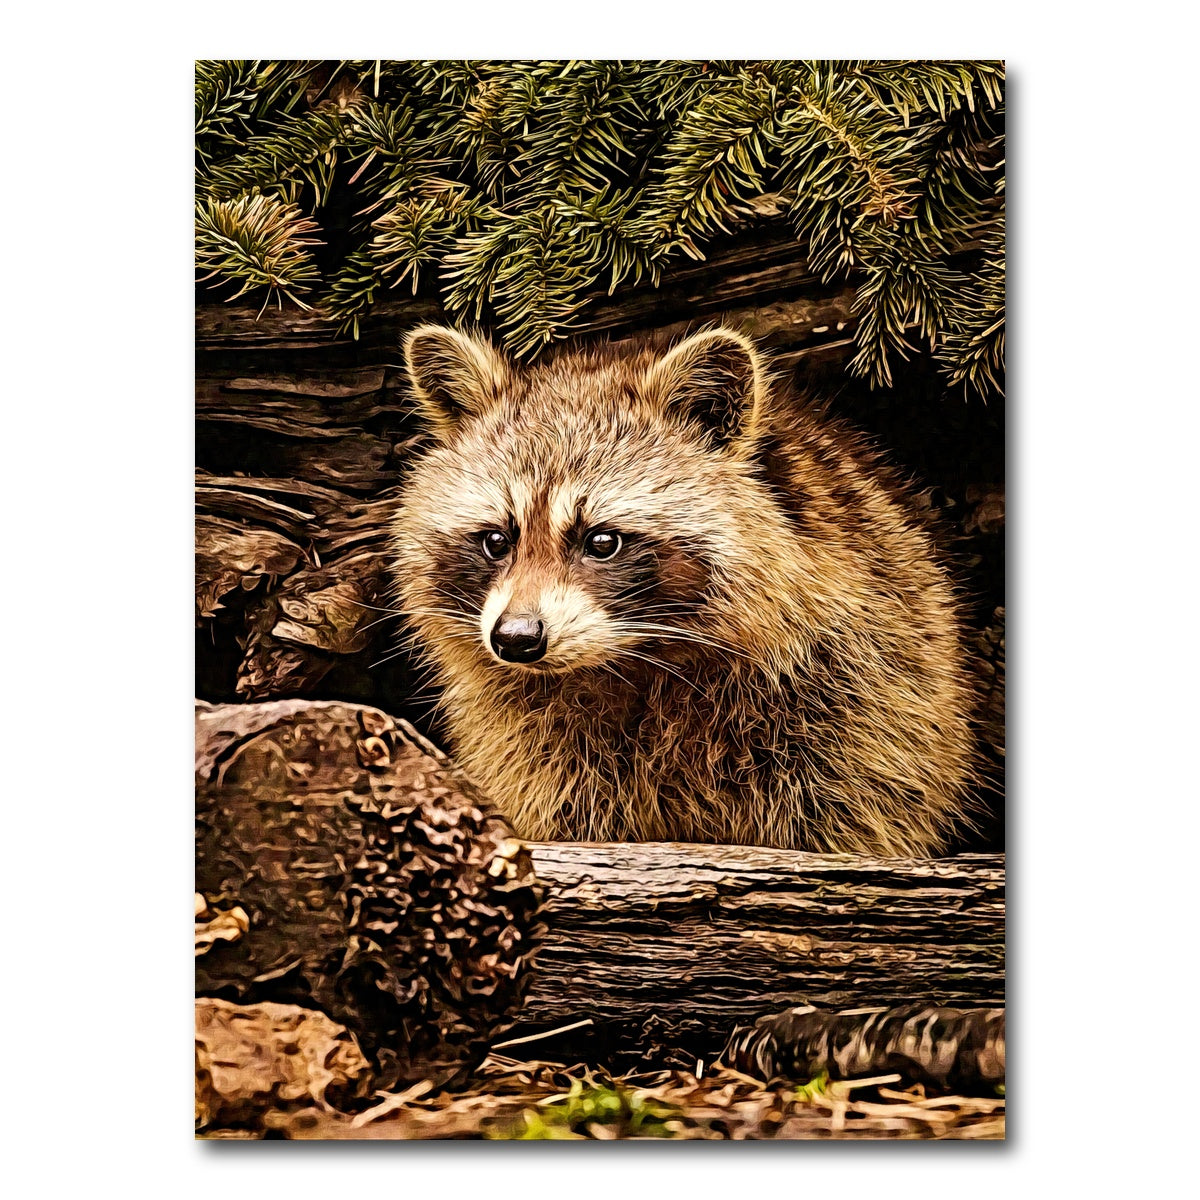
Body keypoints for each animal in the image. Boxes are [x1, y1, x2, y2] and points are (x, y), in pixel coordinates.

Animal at [389, 324, 979, 856]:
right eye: (496, 540)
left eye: (602, 541)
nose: (516, 638)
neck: (632, 662)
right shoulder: (530, 741)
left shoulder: (857, 699)